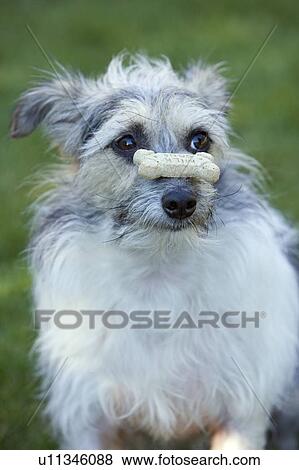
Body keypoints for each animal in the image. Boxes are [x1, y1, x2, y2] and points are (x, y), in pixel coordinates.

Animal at [10, 53, 298, 450]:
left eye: (199, 139)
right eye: (126, 142)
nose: (181, 202)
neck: (157, 270)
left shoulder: (240, 418)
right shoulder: (91, 422)